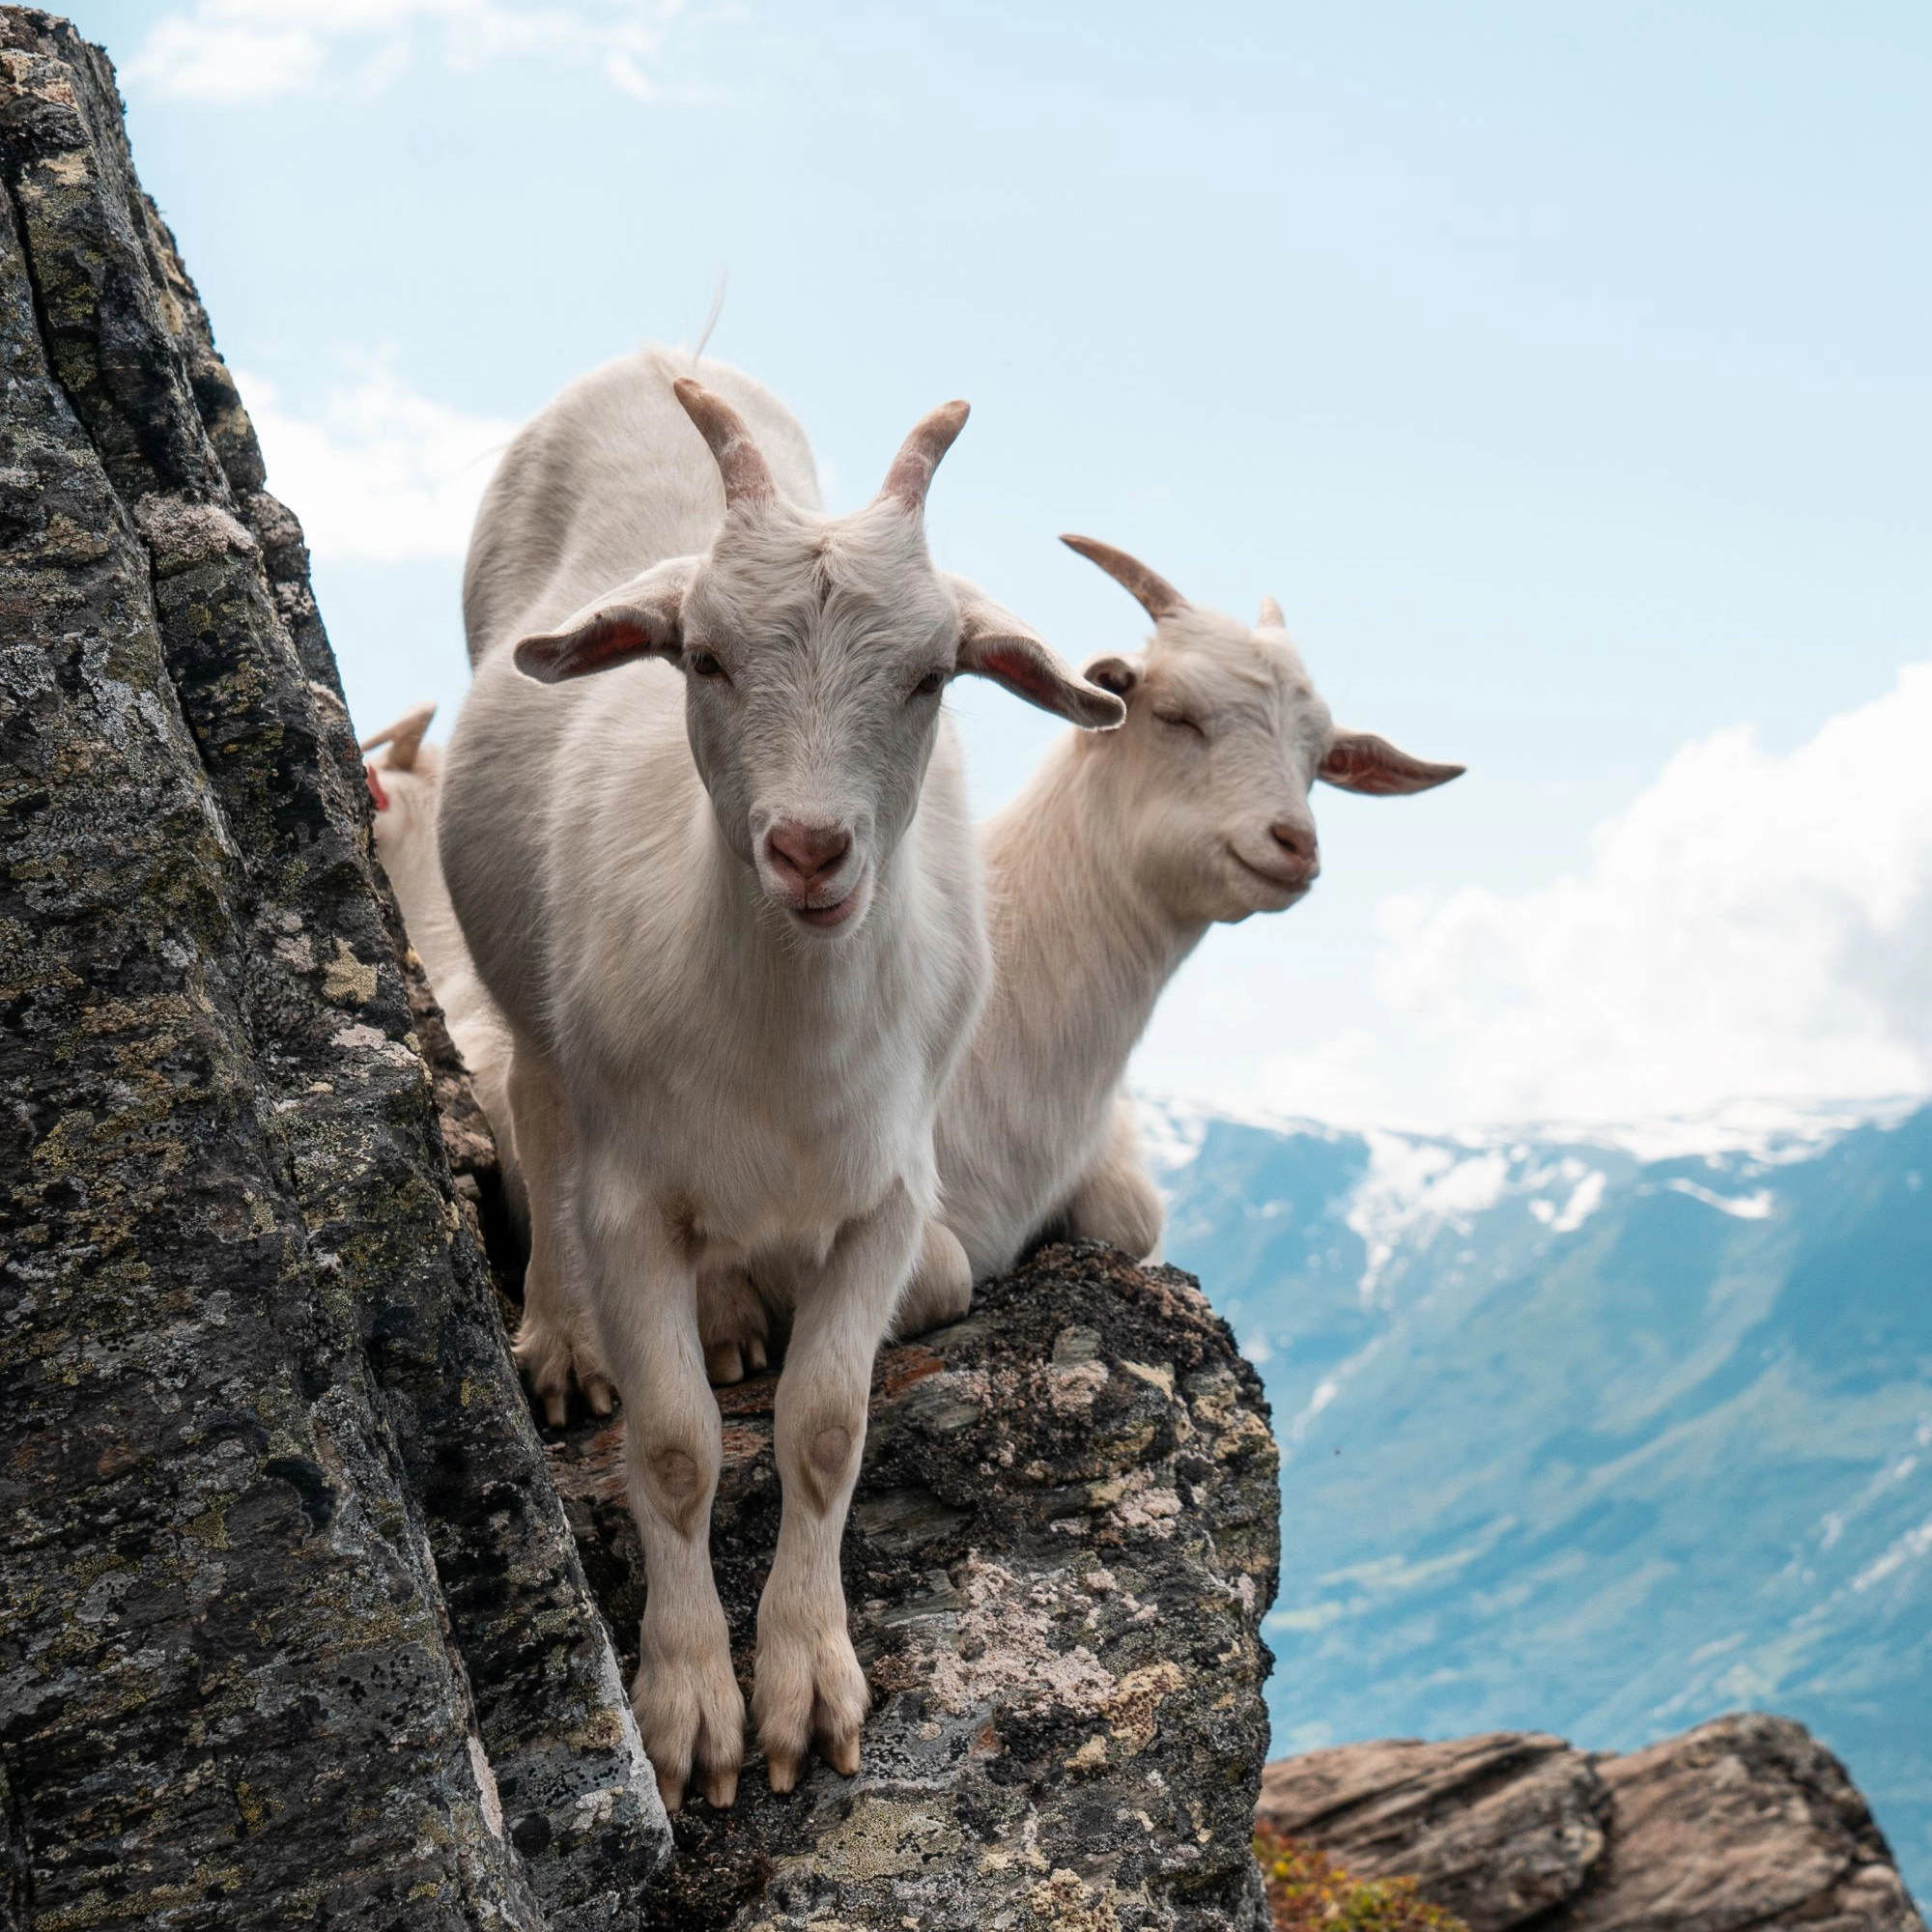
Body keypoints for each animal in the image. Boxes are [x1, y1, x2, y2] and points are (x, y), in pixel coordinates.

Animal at [436, 348, 1122, 1810]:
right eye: (702, 656)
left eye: (932, 674)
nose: (810, 850)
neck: (781, 1033)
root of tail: (658, 356)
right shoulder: (632, 1202)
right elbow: (676, 1445)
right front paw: (692, 1704)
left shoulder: (885, 1198)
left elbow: (821, 1426)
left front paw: (807, 1687)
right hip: (534, 1008)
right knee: (537, 1105)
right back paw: (562, 1341)